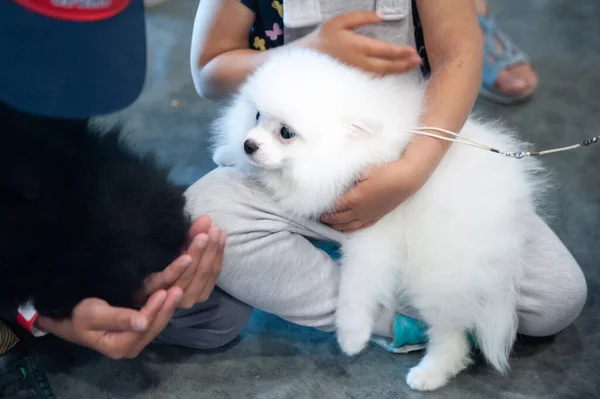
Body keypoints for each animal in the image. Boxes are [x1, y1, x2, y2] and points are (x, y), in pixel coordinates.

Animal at [212, 48, 548, 392]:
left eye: (286, 133)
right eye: (256, 116)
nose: (249, 145)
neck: (350, 153)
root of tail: (514, 211)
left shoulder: (373, 230)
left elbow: (356, 286)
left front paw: (352, 336)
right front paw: (227, 154)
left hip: (439, 269)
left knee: (451, 335)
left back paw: (428, 374)